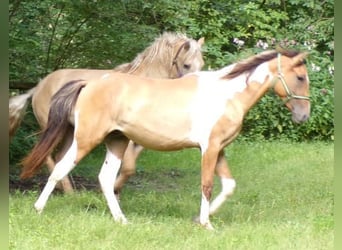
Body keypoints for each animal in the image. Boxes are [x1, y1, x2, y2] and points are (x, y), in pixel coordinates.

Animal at [9, 32, 204, 192]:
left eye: (201, 64)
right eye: (186, 65)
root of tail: (39, 86)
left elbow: (129, 167)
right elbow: (128, 167)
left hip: (71, 131)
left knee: (59, 156)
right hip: (54, 127)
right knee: (47, 155)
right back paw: (67, 190)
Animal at [20, 49, 310, 230]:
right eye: (300, 77)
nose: (304, 115)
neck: (228, 94)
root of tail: (88, 84)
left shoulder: (220, 149)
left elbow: (228, 186)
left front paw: (199, 219)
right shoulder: (209, 148)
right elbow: (207, 185)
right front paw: (206, 224)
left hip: (116, 141)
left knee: (105, 179)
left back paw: (122, 220)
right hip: (86, 139)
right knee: (60, 168)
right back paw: (38, 209)